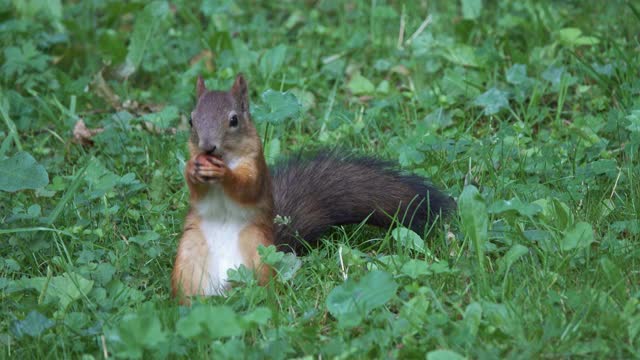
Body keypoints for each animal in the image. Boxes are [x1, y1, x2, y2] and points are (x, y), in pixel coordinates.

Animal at [170, 74, 456, 302]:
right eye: (191, 120)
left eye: (234, 120)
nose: (208, 147)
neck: (226, 157)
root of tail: (225, 292)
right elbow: (195, 189)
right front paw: (193, 168)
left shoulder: (256, 166)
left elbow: (247, 187)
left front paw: (225, 173)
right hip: (188, 262)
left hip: (257, 255)